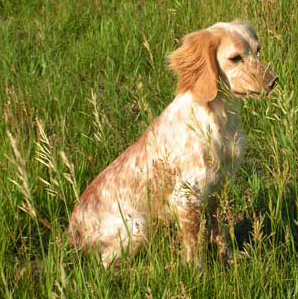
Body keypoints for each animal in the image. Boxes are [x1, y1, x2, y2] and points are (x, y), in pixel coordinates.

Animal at [67, 20, 278, 268]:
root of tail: (72, 231)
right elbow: (194, 249)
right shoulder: (186, 197)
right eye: (235, 58)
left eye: (258, 50)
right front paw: (198, 274)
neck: (218, 116)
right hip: (136, 227)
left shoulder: (216, 189)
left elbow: (221, 232)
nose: (273, 81)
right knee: (106, 266)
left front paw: (230, 258)